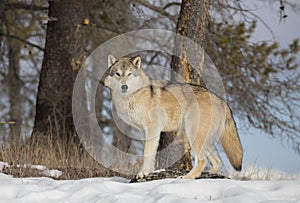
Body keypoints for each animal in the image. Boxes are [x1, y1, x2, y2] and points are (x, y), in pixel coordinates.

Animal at [104, 54, 243, 178]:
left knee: (202, 161)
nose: (124, 86)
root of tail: (222, 101)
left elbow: (147, 153)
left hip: (193, 135)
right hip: (200, 139)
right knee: (216, 161)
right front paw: (148, 171)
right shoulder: (144, 131)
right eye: (118, 74)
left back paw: (186, 178)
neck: (132, 97)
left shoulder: (153, 129)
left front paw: (143, 173)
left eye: (129, 74)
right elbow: (149, 155)